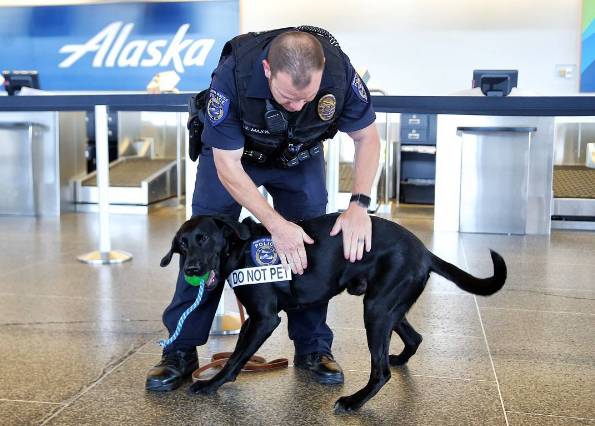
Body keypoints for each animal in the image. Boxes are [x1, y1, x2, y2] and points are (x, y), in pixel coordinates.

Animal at [161, 213, 506, 412]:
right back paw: (398, 360)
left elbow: (235, 357)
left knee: (381, 371)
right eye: (182, 245)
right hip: (387, 307)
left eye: (204, 238)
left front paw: (211, 384)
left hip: (376, 310)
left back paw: (354, 402)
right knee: (414, 338)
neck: (241, 250)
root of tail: (424, 251)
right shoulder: (255, 320)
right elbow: (236, 354)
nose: (191, 269)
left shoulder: (263, 319)